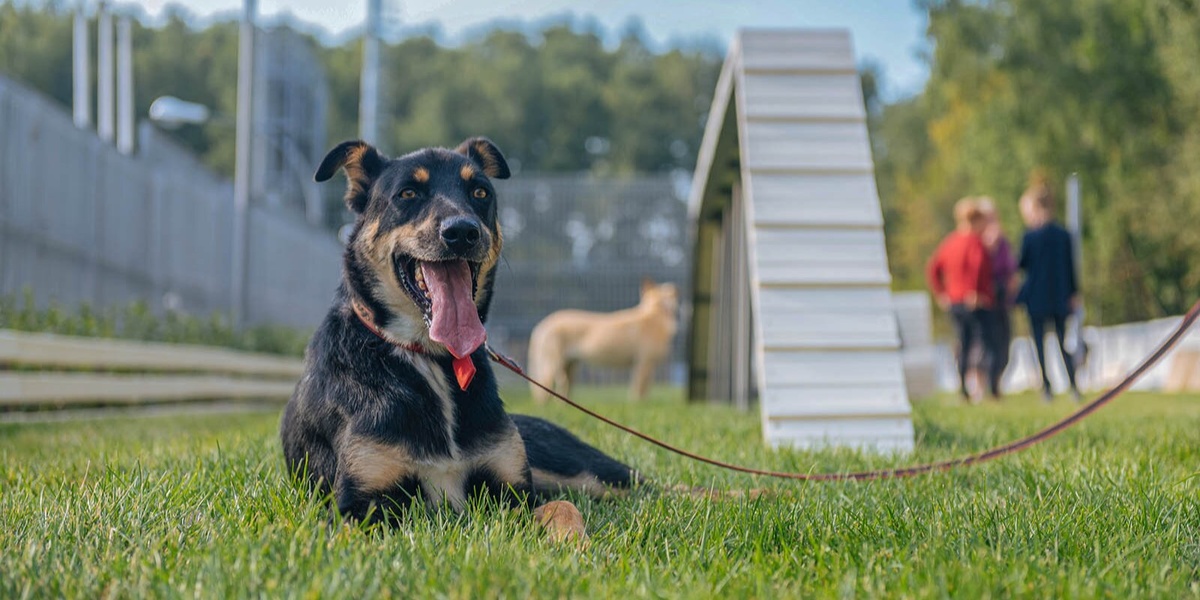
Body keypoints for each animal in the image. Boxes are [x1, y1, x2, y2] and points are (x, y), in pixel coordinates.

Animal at [280, 138, 638, 542]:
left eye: (480, 192)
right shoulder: (358, 503)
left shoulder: (515, 494)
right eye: (408, 193)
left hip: (585, 473)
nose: (463, 232)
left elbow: (563, 507)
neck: (431, 358)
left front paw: (573, 542)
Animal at [530, 280, 681, 403]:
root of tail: (544, 324)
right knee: (543, 391)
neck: (656, 312)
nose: (675, 287)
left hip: (569, 367)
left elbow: (645, 389)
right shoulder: (644, 363)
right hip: (552, 365)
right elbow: (638, 389)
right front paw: (637, 404)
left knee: (562, 389)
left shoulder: (648, 365)